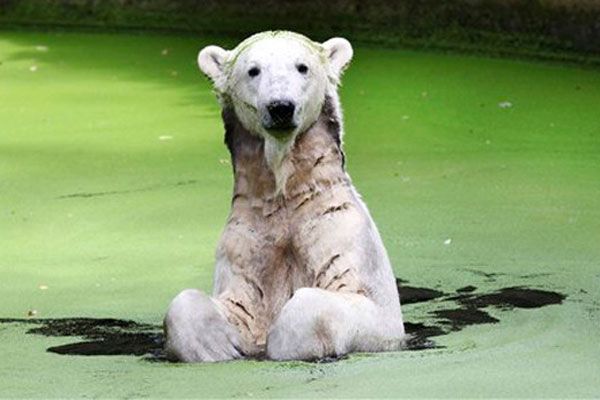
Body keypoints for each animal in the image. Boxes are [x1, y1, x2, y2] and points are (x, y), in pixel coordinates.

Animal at [164, 31, 406, 362]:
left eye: (302, 67)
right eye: (253, 70)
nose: (281, 107)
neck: (286, 192)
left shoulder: (344, 232)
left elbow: (351, 304)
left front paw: (283, 341)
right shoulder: (247, 241)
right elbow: (219, 304)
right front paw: (220, 346)